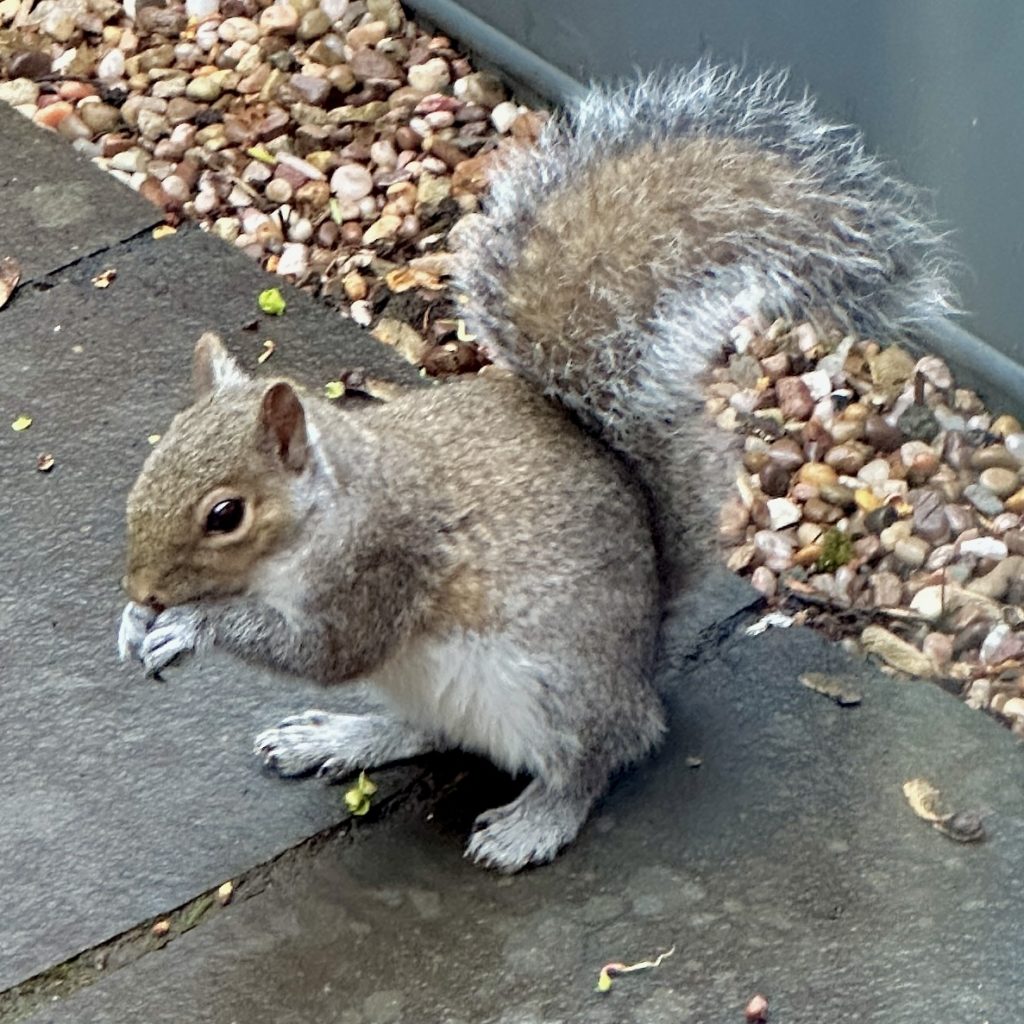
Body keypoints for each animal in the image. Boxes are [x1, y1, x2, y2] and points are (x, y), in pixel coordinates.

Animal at [116, 64, 954, 868]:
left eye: (226, 515)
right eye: (147, 469)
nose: (143, 590)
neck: (330, 504)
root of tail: (641, 668)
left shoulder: (381, 563)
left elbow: (321, 649)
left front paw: (191, 625)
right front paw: (137, 626)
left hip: (557, 689)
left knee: (600, 756)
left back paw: (535, 821)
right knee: (436, 730)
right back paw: (342, 736)